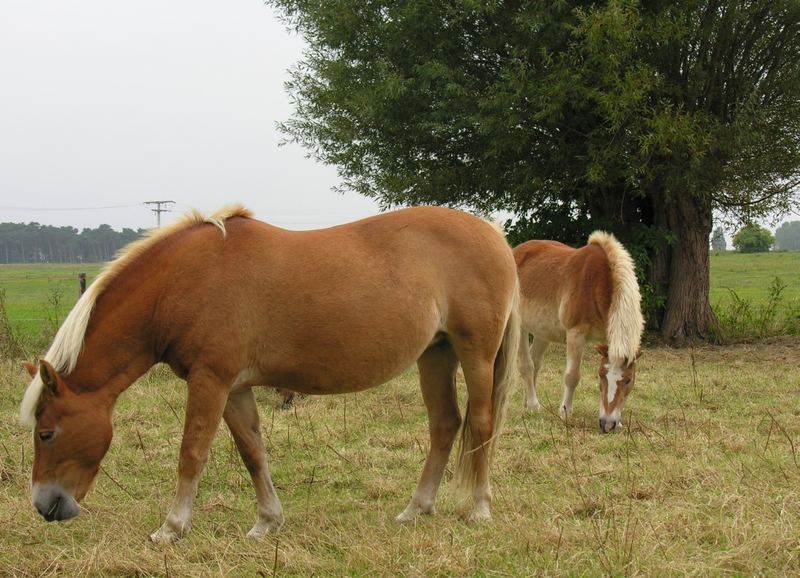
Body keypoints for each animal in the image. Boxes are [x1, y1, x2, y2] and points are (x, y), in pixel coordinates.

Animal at [516, 232, 640, 430]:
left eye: (628, 380)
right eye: (601, 375)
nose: (608, 424)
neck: (598, 284)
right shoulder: (576, 334)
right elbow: (572, 376)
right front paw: (565, 411)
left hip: (543, 332)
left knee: (535, 362)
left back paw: (527, 404)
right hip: (520, 325)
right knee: (527, 366)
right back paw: (534, 405)